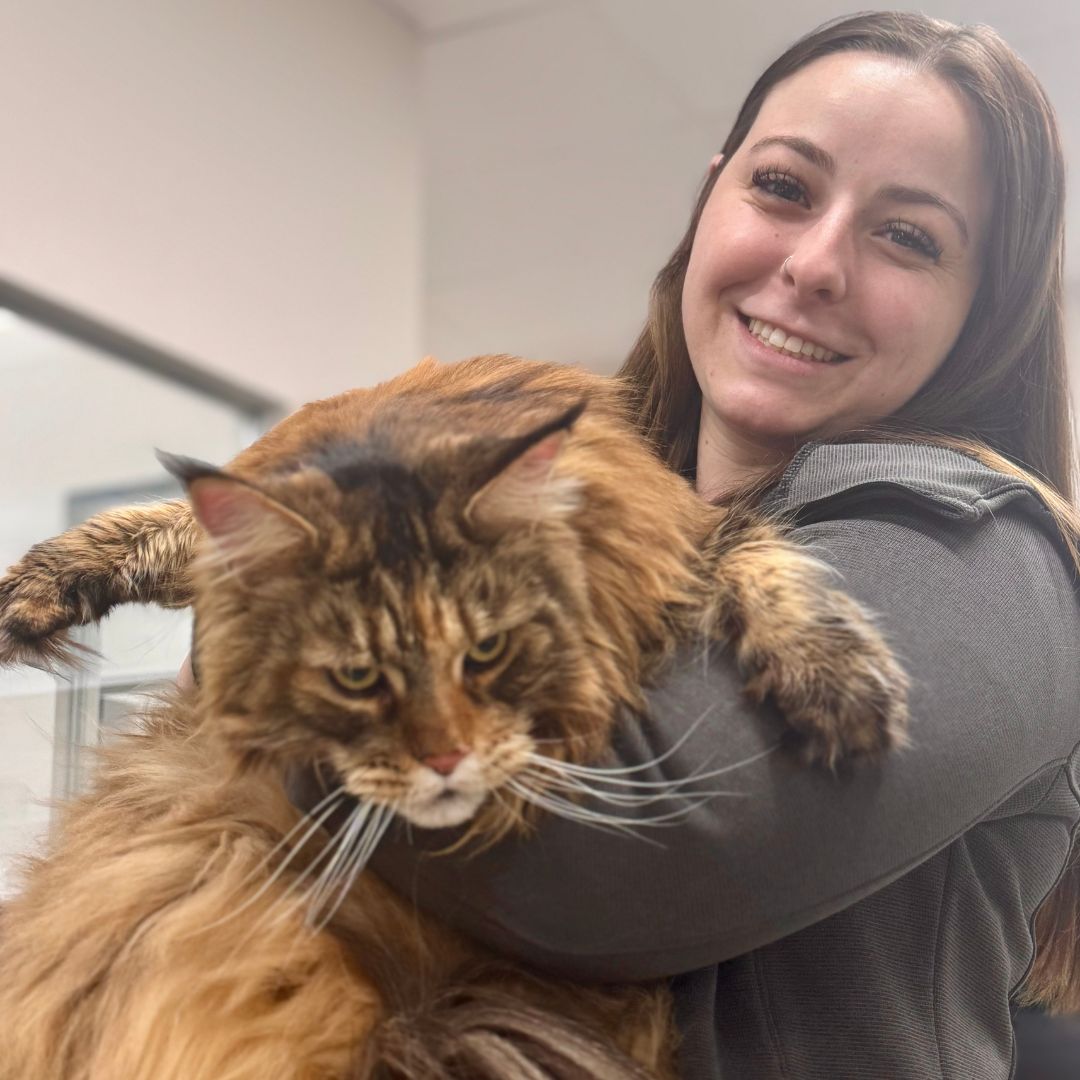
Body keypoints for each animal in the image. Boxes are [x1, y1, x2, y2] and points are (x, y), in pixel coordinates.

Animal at [0, 356, 911, 1080]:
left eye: (480, 646)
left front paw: (835, 674)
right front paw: (34, 593)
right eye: (361, 667)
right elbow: (161, 522)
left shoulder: (691, 542)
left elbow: (767, 555)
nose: (443, 752)